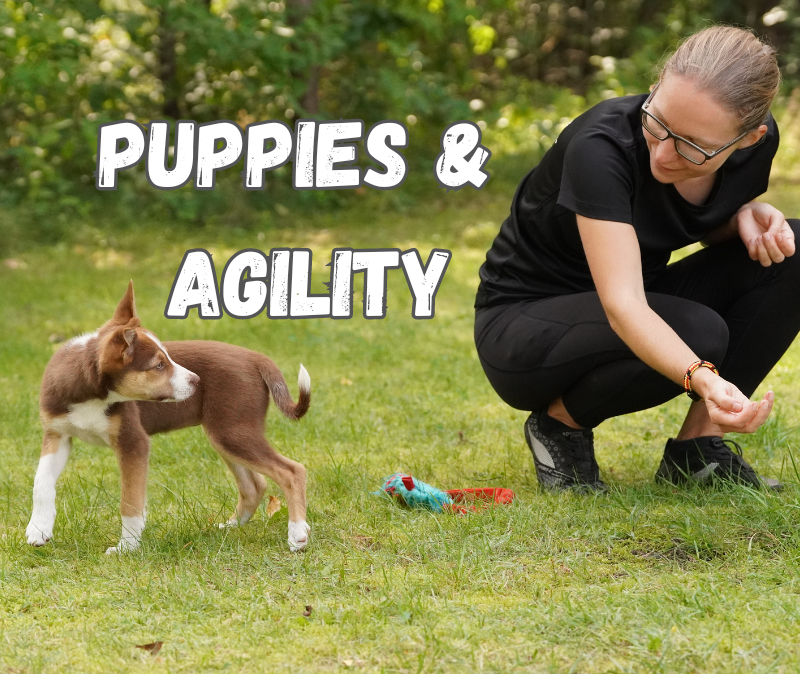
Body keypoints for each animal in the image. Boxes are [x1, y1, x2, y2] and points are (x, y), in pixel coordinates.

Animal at [26, 280, 310, 552]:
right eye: (159, 365)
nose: (197, 380)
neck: (92, 395)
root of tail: (256, 357)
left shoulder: (133, 442)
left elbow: (130, 501)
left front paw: (126, 547)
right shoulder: (57, 434)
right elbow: (42, 481)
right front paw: (38, 530)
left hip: (233, 431)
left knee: (292, 471)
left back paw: (297, 534)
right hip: (226, 433)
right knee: (254, 485)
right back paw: (229, 527)